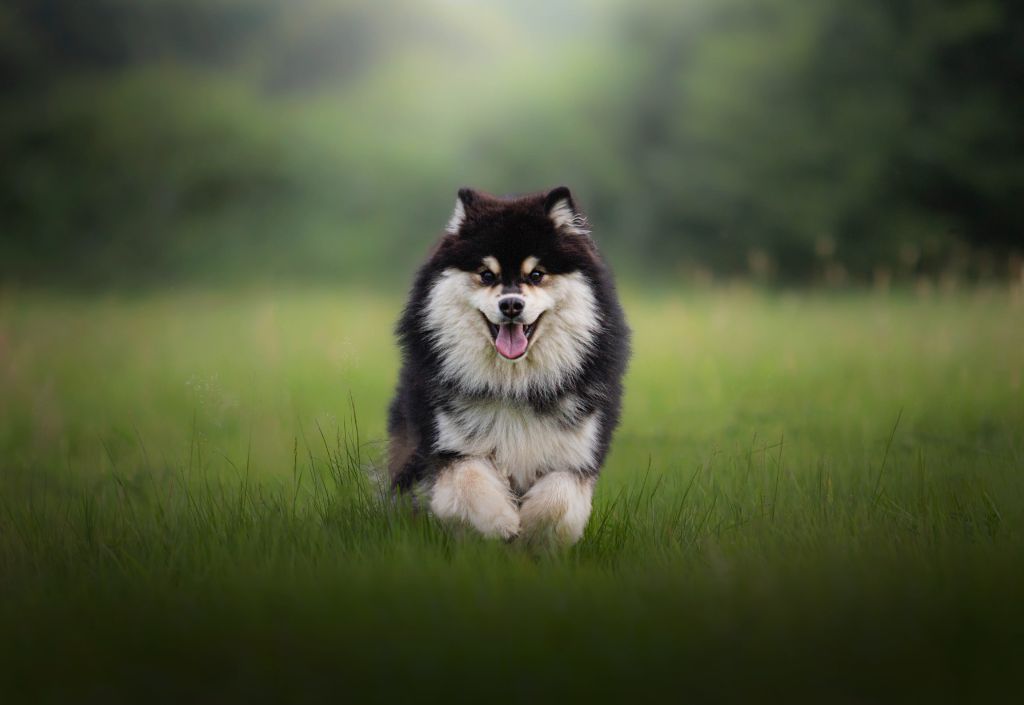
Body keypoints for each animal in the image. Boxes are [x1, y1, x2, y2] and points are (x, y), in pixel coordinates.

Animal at [387, 185, 626, 545]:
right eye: (487, 275)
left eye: (537, 275)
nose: (511, 304)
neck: (515, 384)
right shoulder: (450, 445)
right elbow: (469, 481)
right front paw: (500, 521)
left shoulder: (576, 453)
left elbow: (558, 499)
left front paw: (532, 531)